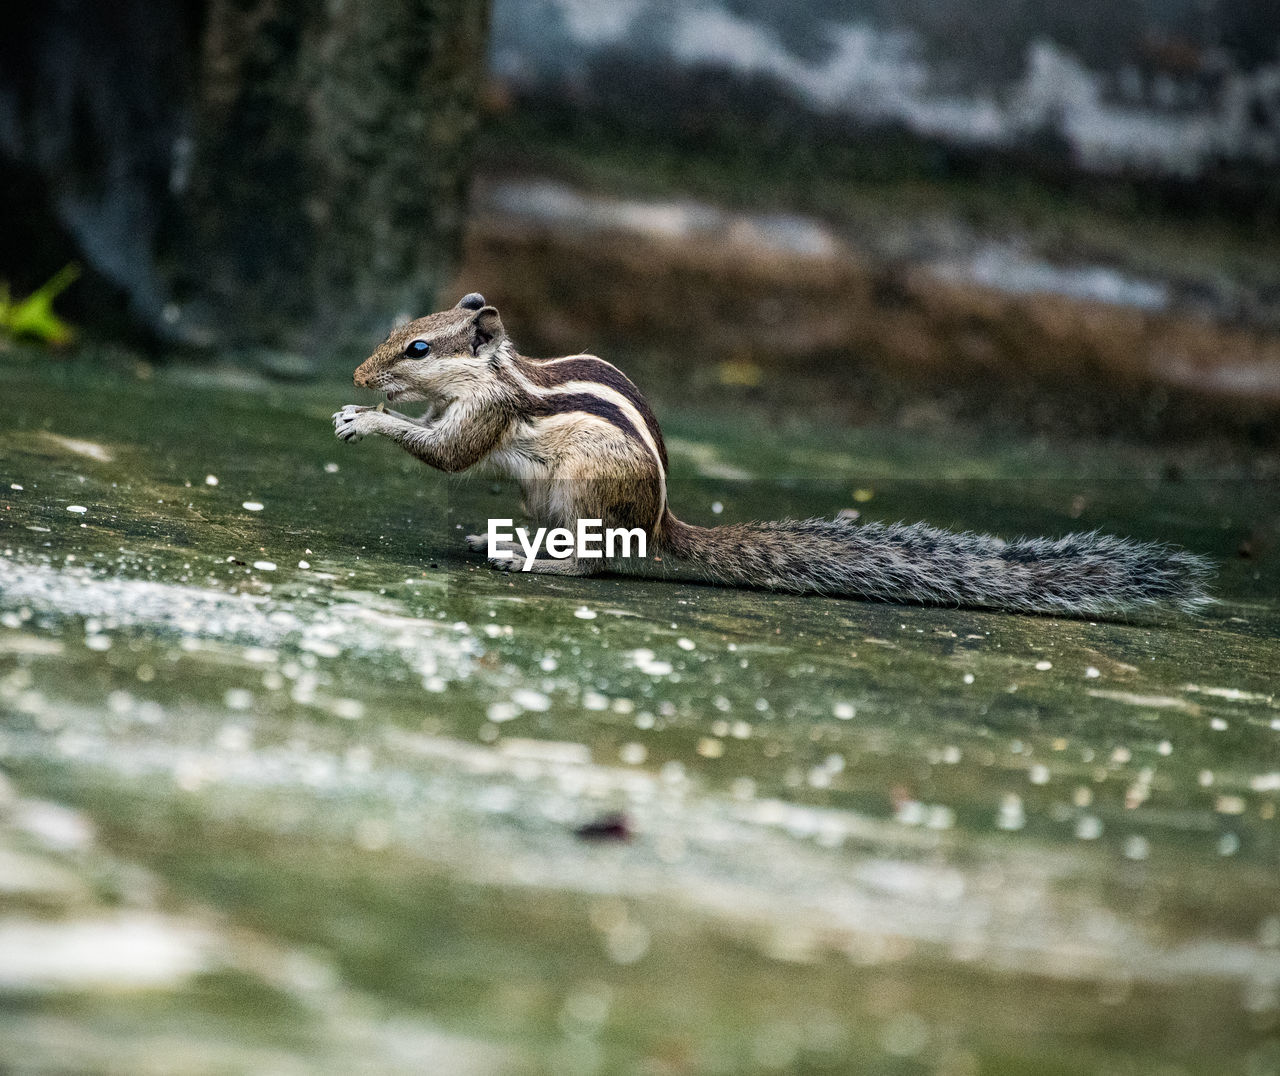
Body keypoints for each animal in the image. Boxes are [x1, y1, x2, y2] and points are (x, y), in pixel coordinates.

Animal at [332, 289, 1208, 616]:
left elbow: (447, 453)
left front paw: (364, 419)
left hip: (583, 493)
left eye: (417, 348)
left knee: (592, 564)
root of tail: (658, 523)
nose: (361, 373)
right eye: (398, 332)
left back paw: (531, 560)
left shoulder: (487, 415)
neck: (495, 373)